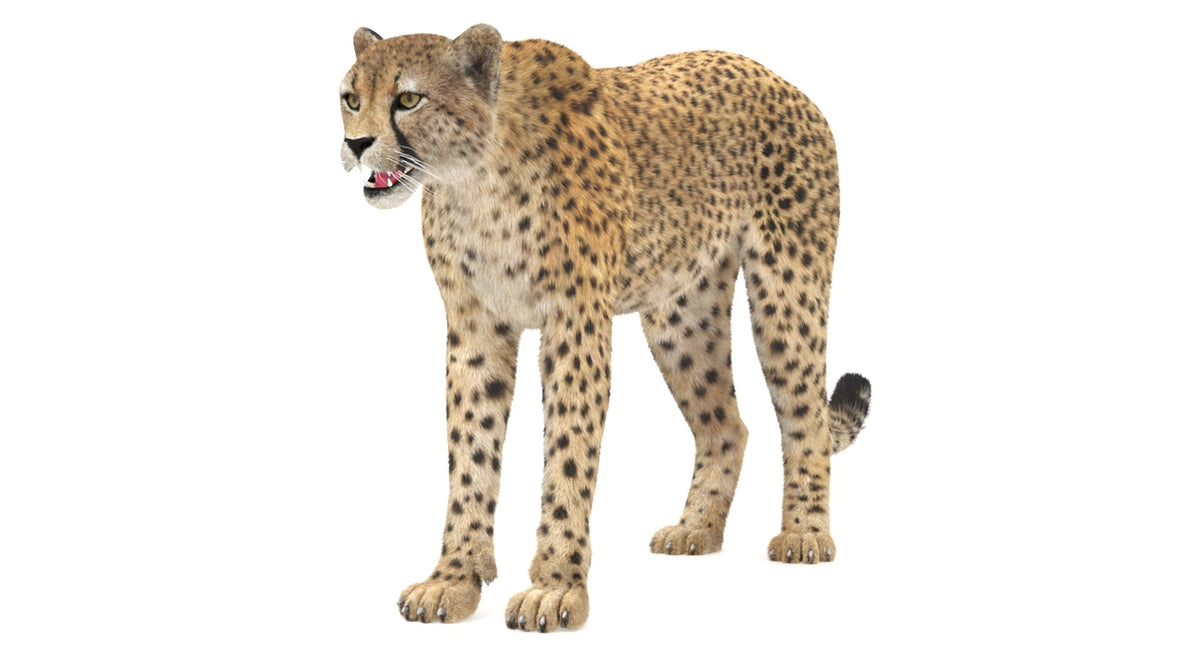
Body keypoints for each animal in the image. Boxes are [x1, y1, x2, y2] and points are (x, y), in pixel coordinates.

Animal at [338, 24, 872, 632]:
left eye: (408, 99)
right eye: (350, 98)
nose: (357, 144)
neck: (476, 178)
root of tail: (779, 79)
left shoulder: (575, 323)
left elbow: (568, 451)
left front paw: (554, 588)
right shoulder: (475, 329)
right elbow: (470, 454)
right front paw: (454, 579)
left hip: (787, 289)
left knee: (806, 417)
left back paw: (805, 534)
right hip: (679, 313)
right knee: (727, 425)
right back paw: (696, 529)